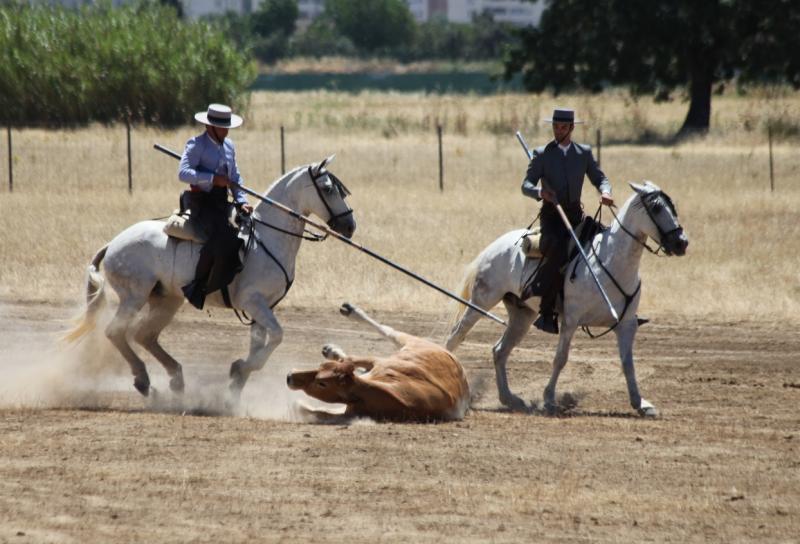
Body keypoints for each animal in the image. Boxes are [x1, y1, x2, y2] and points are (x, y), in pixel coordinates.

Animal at [67, 155, 354, 398]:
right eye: (328, 189)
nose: (350, 226)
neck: (268, 238)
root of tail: (113, 243)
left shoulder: (264, 307)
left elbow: (260, 344)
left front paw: (236, 387)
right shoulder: (253, 302)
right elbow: (277, 336)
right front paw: (238, 369)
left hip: (166, 300)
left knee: (144, 335)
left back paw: (176, 379)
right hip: (133, 296)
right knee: (116, 331)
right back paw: (143, 379)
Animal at [286, 304, 468, 422]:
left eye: (322, 384)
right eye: (321, 366)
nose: (289, 376)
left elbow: (303, 407)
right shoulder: (376, 362)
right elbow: (351, 359)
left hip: (408, 341)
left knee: (388, 331)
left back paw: (350, 314)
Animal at [444, 183, 688, 416]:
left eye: (672, 206)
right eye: (656, 208)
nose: (681, 242)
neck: (610, 263)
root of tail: (496, 245)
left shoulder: (627, 324)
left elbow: (628, 363)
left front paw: (641, 403)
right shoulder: (570, 321)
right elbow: (561, 358)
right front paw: (549, 400)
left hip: (522, 315)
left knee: (499, 351)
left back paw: (510, 399)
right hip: (481, 301)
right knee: (456, 336)